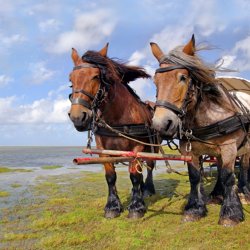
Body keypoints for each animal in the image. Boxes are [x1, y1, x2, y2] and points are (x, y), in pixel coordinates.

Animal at [68, 43, 158, 219]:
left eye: (96, 76)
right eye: (71, 80)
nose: (77, 117)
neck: (118, 118)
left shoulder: (137, 148)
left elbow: (134, 176)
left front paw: (136, 206)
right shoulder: (103, 149)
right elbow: (110, 176)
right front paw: (112, 205)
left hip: (152, 146)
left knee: (150, 166)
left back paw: (148, 190)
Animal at [150, 35, 250, 227]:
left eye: (182, 77)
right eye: (155, 81)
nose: (161, 124)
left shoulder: (229, 147)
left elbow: (228, 176)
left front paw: (231, 213)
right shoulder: (191, 151)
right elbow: (195, 177)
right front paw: (195, 209)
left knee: (244, 167)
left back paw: (244, 192)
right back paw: (217, 194)